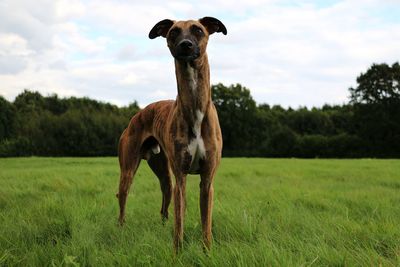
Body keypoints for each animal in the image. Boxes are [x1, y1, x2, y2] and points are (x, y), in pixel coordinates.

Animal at [117, 16, 227, 251]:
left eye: (198, 30)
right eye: (173, 32)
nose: (185, 45)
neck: (195, 106)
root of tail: (137, 115)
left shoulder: (207, 180)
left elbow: (206, 226)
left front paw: (207, 252)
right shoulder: (181, 177)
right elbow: (179, 226)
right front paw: (178, 252)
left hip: (164, 174)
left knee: (165, 205)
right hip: (129, 169)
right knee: (123, 199)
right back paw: (120, 229)